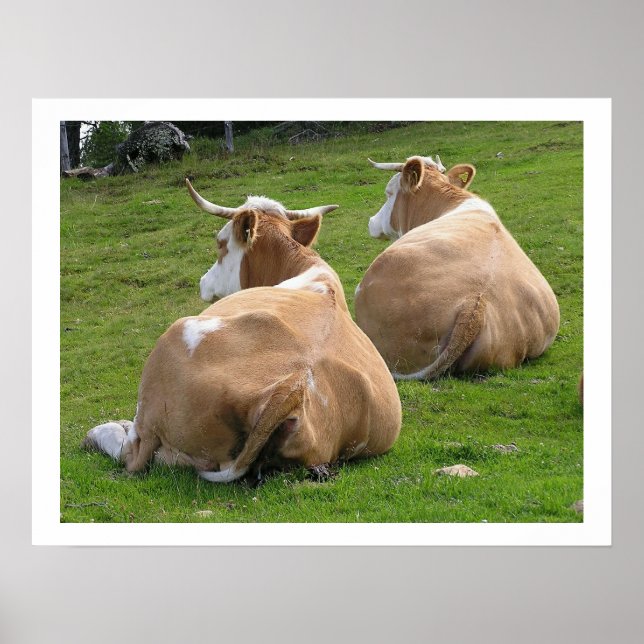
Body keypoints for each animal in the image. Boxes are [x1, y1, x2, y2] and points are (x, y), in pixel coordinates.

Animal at [82, 180, 402, 484]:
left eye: (220, 244)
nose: (203, 282)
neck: (307, 270)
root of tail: (292, 386)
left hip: (168, 351)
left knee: (134, 452)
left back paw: (102, 432)